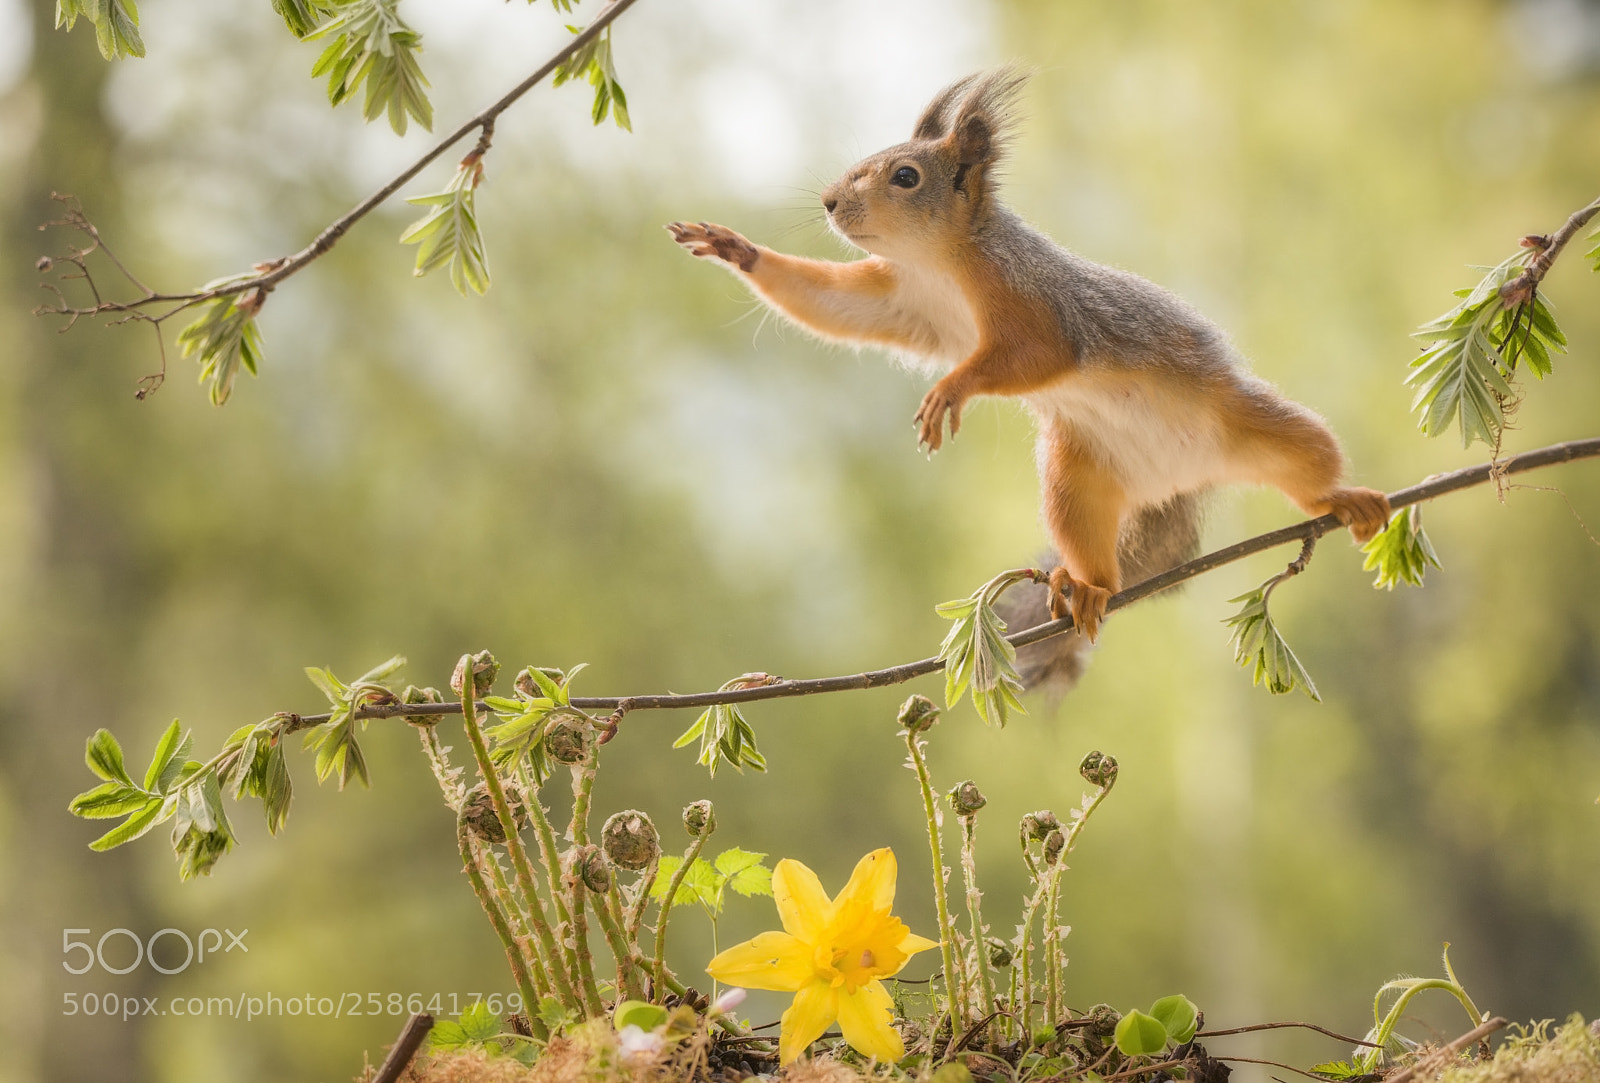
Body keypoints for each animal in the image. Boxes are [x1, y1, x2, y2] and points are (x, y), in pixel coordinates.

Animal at [668, 67, 1390, 686]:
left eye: (906, 175)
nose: (828, 202)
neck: (940, 261)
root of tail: (1179, 480)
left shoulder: (1030, 299)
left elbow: (1038, 354)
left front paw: (949, 391)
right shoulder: (902, 302)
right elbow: (832, 305)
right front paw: (738, 250)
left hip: (1248, 421)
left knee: (1307, 455)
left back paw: (1345, 500)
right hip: (1078, 476)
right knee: (1100, 559)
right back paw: (1086, 586)